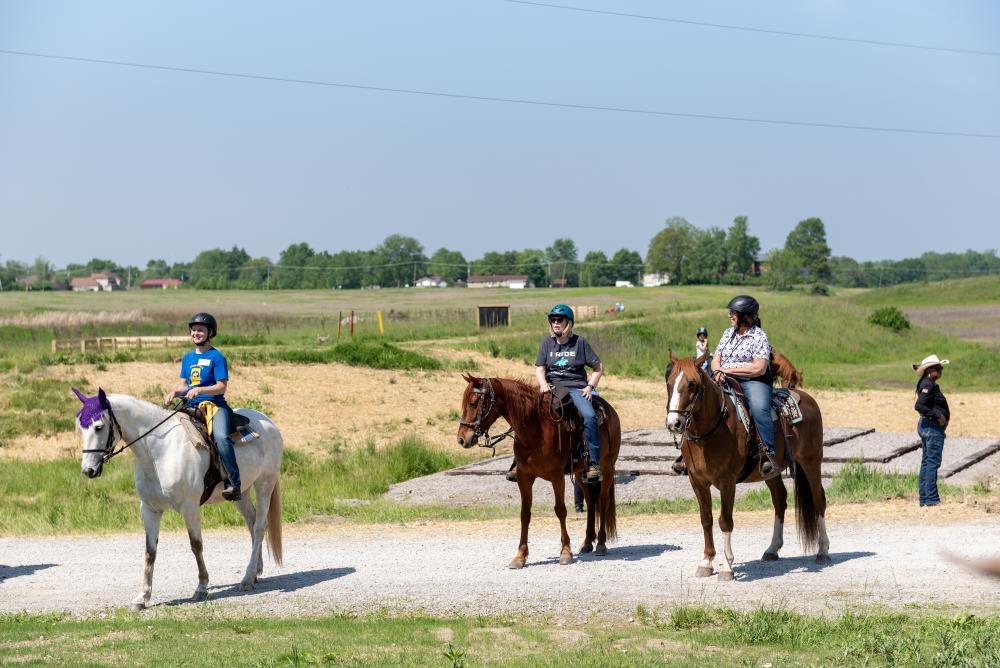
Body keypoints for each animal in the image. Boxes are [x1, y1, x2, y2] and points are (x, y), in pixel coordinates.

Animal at [75, 386, 282, 612]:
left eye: (99, 427)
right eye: (81, 428)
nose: (88, 470)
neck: (159, 452)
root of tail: (269, 423)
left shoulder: (189, 507)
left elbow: (196, 545)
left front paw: (201, 587)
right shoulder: (149, 509)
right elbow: (150, 551)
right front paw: (143, 597)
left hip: (264, 484)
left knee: (260, 527)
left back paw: (247, 578)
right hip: (241, 492)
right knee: (251, 523)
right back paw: (255, 572)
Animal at [458, 374, 620, 568]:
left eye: (473, 403)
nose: (461, 439)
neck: (536, 428)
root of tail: (610, 410)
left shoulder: (557, 476)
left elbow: (560, 510)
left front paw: (565, 552)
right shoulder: (524, 476)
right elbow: (525, 514)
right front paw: (520, 556)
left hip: (607, 468)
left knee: (602, 502)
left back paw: (601, 543)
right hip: (581, 474)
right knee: (590, 503)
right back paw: (588, 543)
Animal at [664, 350, 828, 580]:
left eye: (693, 384)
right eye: (669, 383)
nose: (674, 424)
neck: (713, 429)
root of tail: (807, 399)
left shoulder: (727, 481)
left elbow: (725, 520)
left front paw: (726, 566)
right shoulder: (697, 481)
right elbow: (706, 519)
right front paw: (706, 561)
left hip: (811, 460)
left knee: (818, 499)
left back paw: (823, 550)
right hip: (772, 472)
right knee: (780, 500)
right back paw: (772, 549)